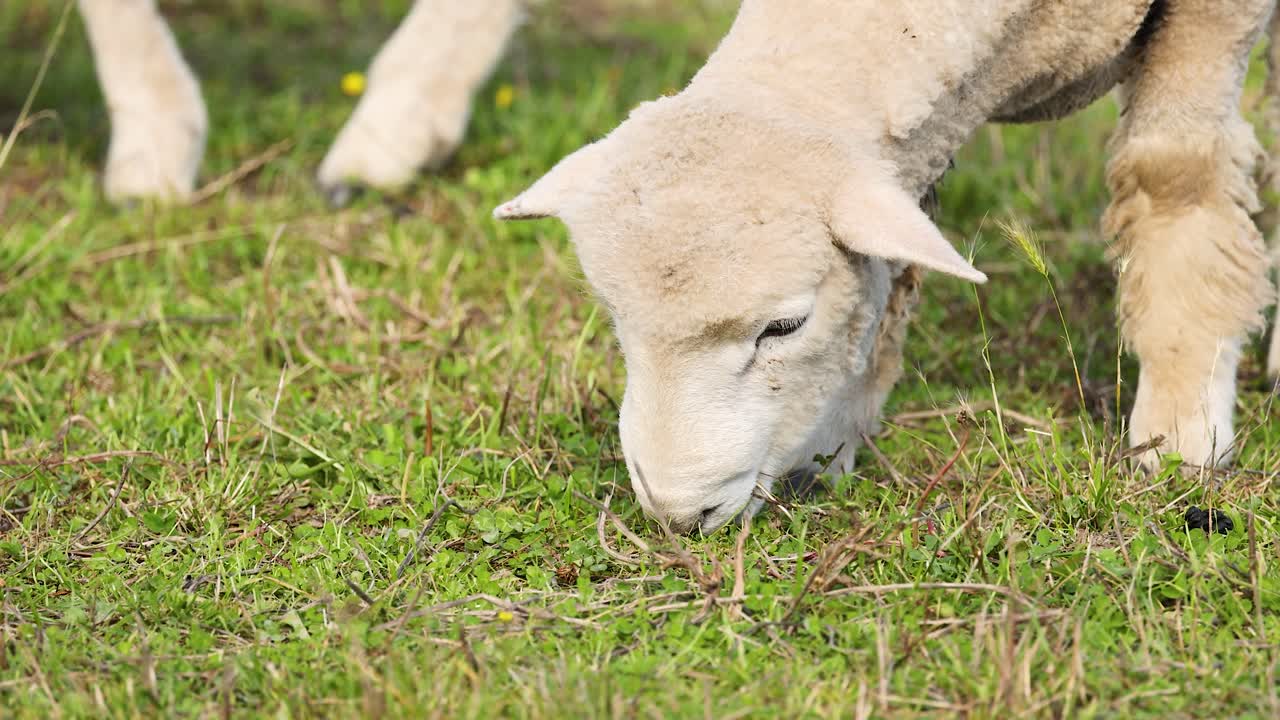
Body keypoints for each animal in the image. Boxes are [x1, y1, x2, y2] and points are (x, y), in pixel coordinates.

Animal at [495, 0, 1280, 533]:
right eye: (617, 319)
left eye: (785, 326)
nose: (678, 514)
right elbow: (893, 277)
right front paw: (832, 447)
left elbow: (1174, 172)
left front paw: (1180, 431)